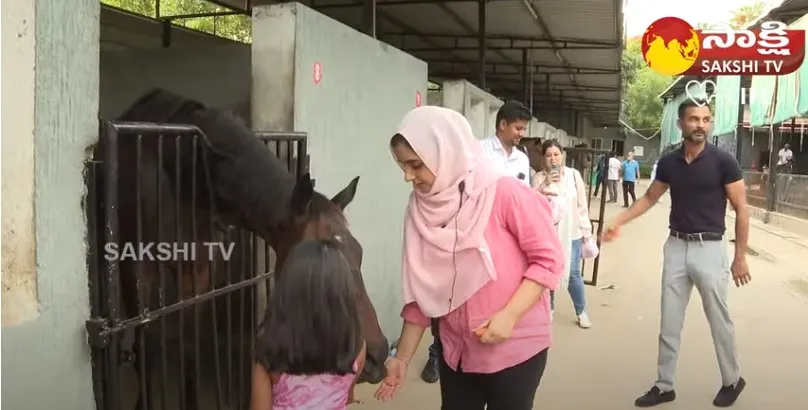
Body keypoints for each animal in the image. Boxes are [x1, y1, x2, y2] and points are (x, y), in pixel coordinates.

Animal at [99, 88, 390, 408]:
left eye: (359, 252)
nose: (377, 356)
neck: (189, 173)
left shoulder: (200, 268)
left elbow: (190, 343)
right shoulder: (136, 267)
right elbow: (147, 345)